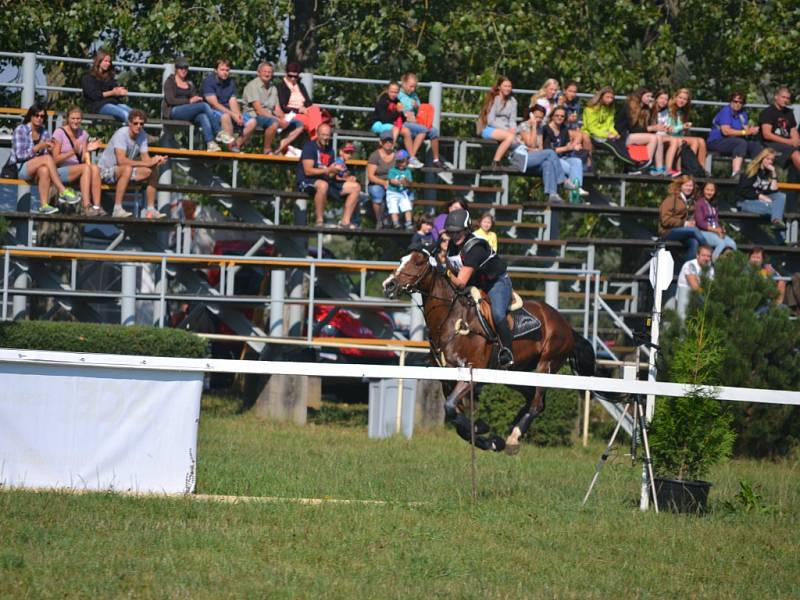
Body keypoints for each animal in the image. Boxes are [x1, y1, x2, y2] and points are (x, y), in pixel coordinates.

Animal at [382, 246, 592, 452]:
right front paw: (489, 438)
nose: (389, 285)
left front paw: (482, 429)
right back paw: (511, 430)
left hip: (546, 365)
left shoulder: (472, 373)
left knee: (537, 403)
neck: (450, 319)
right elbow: (454, 416)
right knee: (532, 396)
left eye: (418, 262)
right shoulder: (446, 380)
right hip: (515, 372)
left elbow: (451, 408)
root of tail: (566, 325)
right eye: (401, 260)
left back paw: (514, 437)